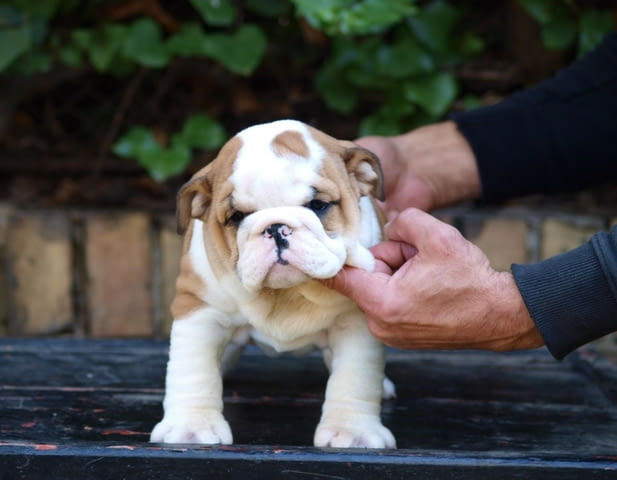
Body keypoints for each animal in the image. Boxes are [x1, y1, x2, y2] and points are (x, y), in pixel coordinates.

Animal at [149, 118, 394, 448]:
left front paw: (352, 431)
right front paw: (190, 427)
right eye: (237, 216)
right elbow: (193, 371)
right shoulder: (198, 309)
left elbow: (355, 378)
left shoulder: (356, 320)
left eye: (318, 205)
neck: (288, 294)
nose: (276, 227)